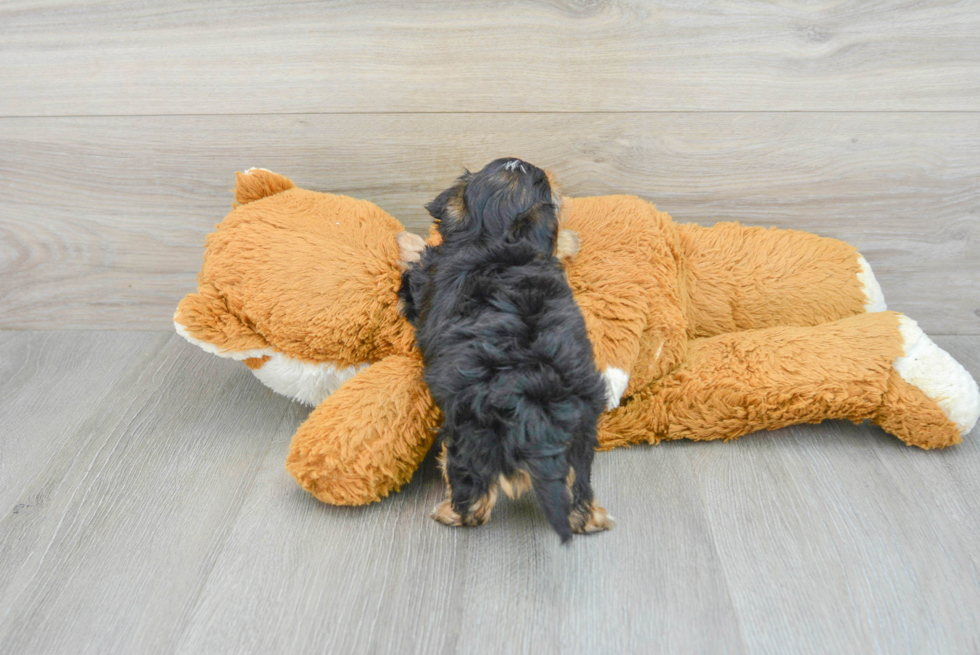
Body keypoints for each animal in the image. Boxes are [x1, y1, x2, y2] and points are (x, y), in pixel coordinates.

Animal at [398, 160, 612, 544]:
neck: (494, 235)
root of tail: (532, 402)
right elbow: (554, 245)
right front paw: (570, 240)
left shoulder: (424, 282)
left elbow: (418, 255)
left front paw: (407, 239)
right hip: (582, 428)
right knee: (579, 483)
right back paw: (591, 518)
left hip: (468, 431)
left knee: (473, 495)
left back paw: (450, 512)